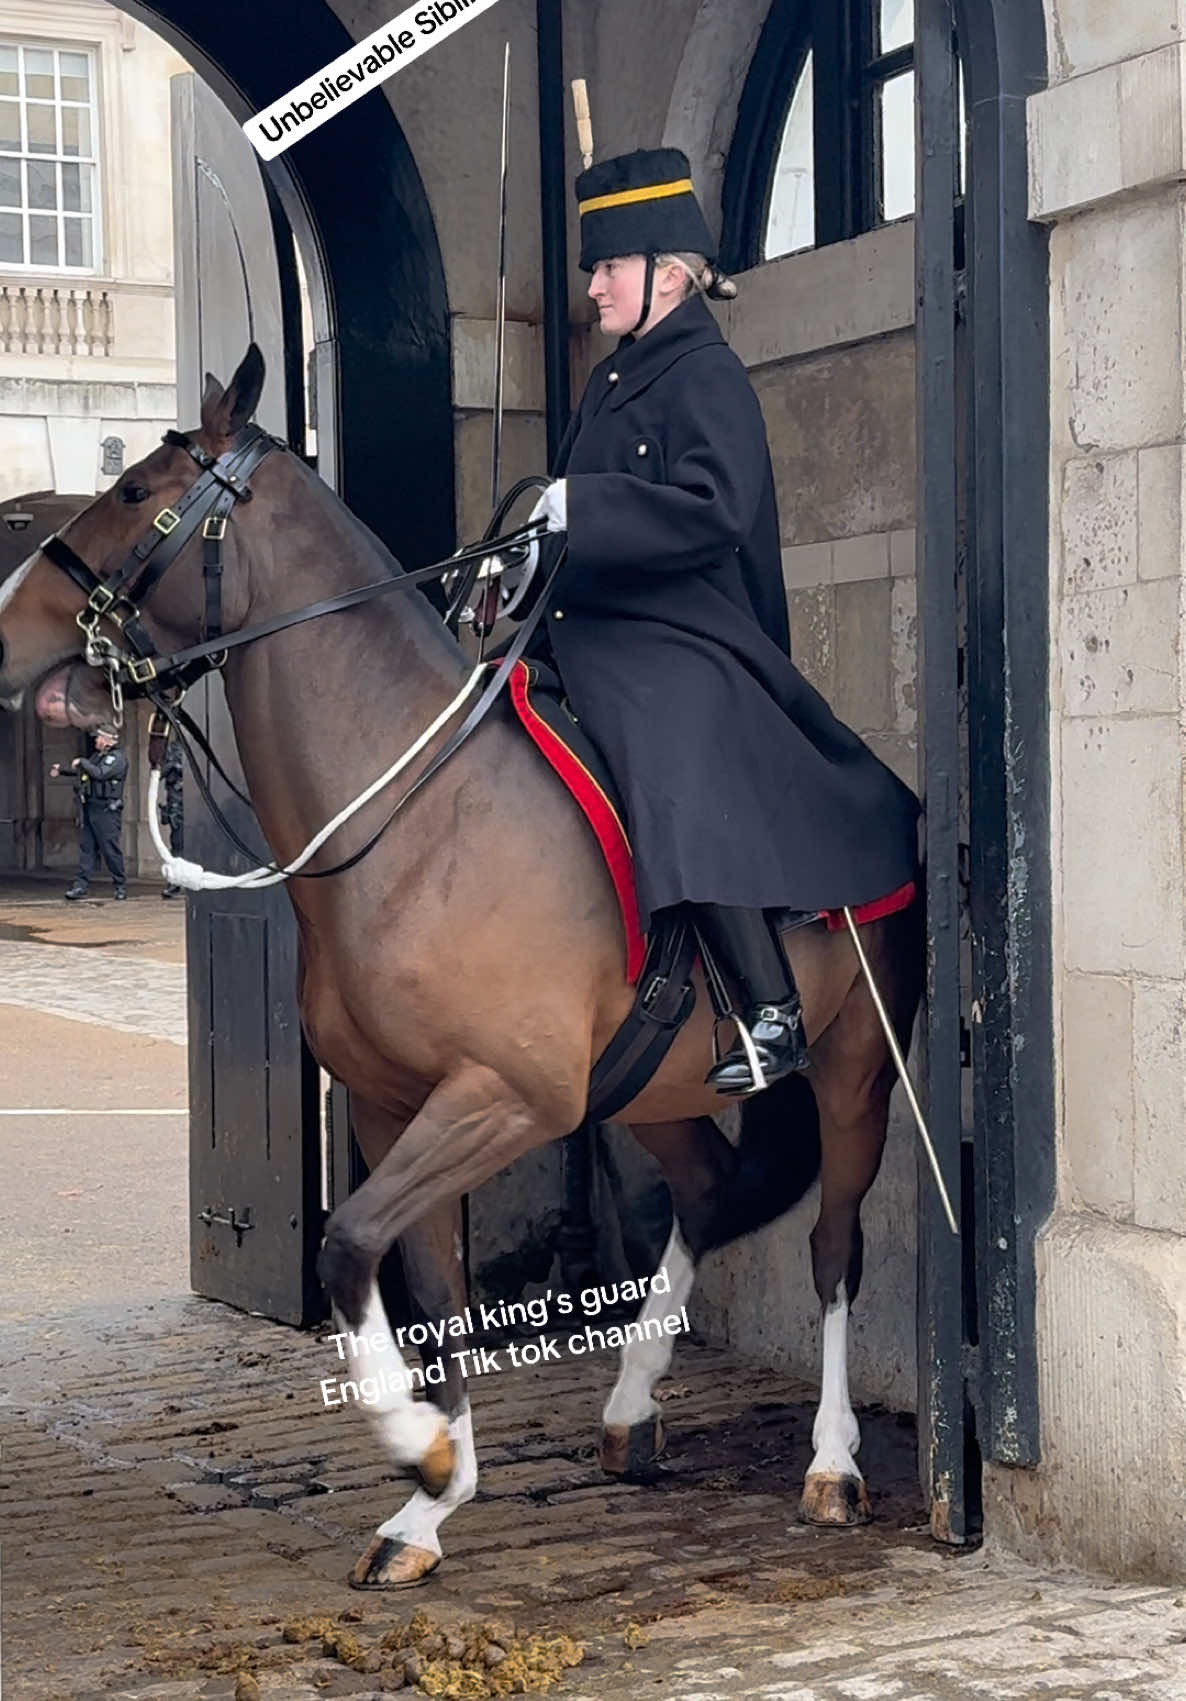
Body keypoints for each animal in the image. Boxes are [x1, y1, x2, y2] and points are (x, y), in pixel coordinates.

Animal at [0, 352, 925, 1585]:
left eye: (138, 488)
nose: (5, 626)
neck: (413, 815)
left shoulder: (505, 1096)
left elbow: (349, 1245)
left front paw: (417, 1448)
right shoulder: (401, 1107)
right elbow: (428, 1287)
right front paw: (434, 1498)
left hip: (857, 1068)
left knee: (831, 1246)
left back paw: (831, 1462)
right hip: (654, 1085)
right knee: (708, 1189)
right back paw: (633, 1403)